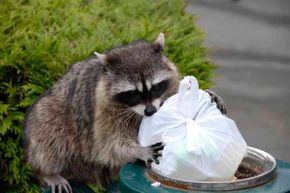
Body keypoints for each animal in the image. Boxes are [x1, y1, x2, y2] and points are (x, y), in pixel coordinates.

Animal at [23, 34, 227, 192]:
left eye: (155, 87)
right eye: (133, 93)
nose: (150, 111)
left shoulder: (170, 86)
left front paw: (209, 95)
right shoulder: (104, 111)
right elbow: (109, 145)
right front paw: (140, 150)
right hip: (50, 113)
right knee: (48, 132)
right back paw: (48, 172)